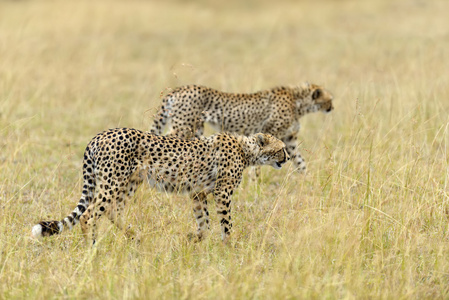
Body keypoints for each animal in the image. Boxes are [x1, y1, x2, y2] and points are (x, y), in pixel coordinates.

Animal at [31, 126, 288, 244]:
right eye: (281, 148)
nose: (286, 158)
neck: (247, 150)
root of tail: (99, 135)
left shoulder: (198, 193)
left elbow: (203, 222)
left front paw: (194, 241)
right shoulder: (222, 193)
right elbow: (226, 223)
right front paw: (230, 247)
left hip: (129, 182)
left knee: (114, 211)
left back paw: (135, 237)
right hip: (113, 182)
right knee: (89, 215)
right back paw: (92, 246)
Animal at [150, 83, 332, 175]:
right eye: (329, 99)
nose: (332, 107)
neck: (298, 102)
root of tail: (178, 89)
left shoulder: (289, 140)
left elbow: (300, 161)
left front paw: (306, 179)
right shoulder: (271, 133)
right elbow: (259, 163)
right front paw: (255, 183)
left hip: (196, 130)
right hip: (184, 127)